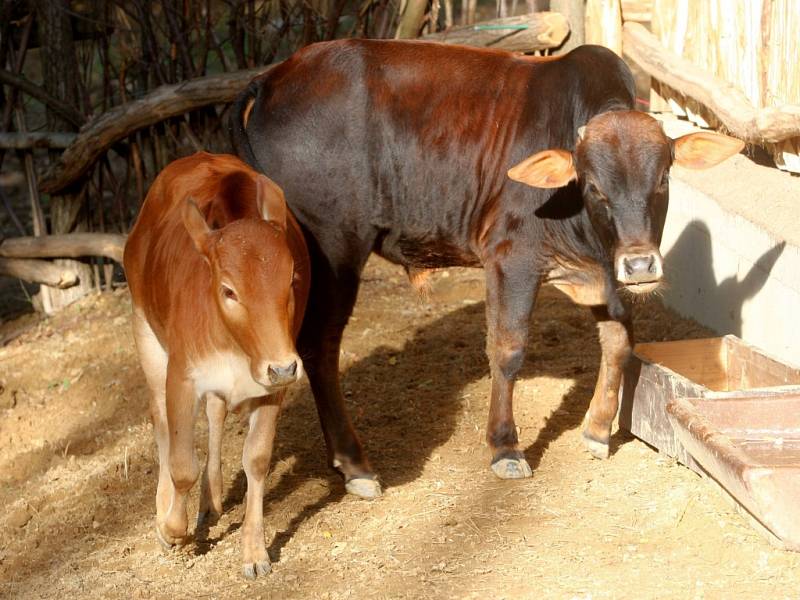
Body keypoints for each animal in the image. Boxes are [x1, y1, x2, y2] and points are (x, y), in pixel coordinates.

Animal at [124, 152, 310, 580]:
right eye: (229, 290)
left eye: (292, 278)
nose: (284, 367)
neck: (236, 347)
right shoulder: (181, 377)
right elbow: (181, 465)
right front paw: (172, 531)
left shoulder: (271, 386)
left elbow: (256, 460)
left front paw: (255, 552)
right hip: (146, 333)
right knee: (160, 420)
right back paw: (165, 506)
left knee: (215, 414)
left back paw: (211, 499)